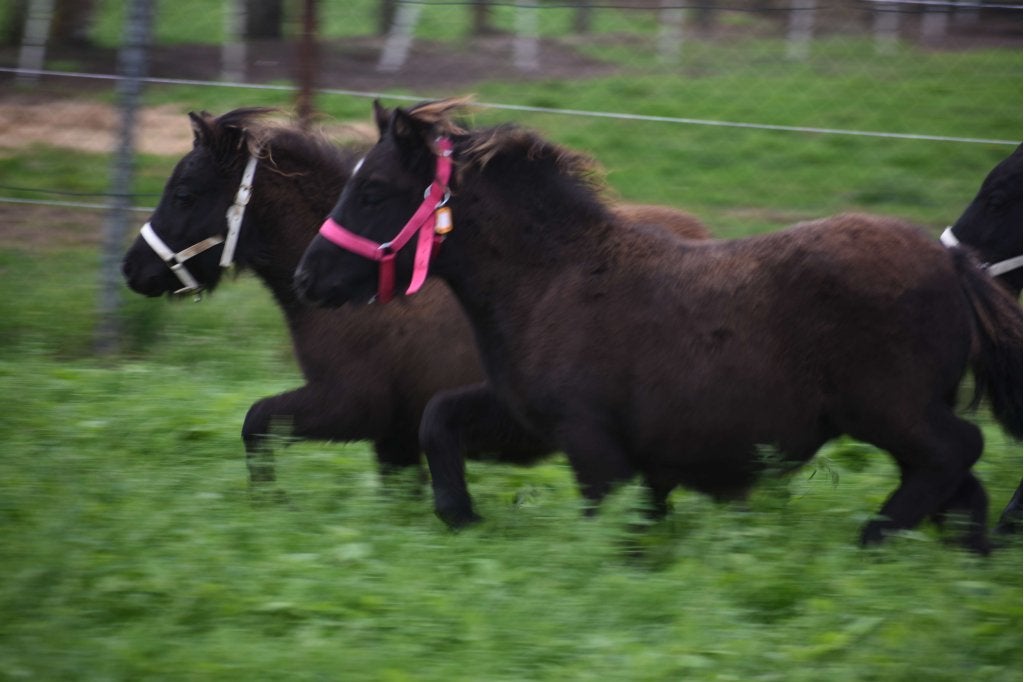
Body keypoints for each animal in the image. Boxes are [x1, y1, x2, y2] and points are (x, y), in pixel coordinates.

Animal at [294, 98, 1022, 554]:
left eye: (373, 191)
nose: (307, 277)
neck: (550, 278)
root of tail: (954, 262)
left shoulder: (590, 442)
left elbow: (615, 532)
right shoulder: (522, 413)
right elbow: (436, 420)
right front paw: (463, 518)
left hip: (893, 412)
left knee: (957, 455)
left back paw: (874, 540)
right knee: (962, 488)